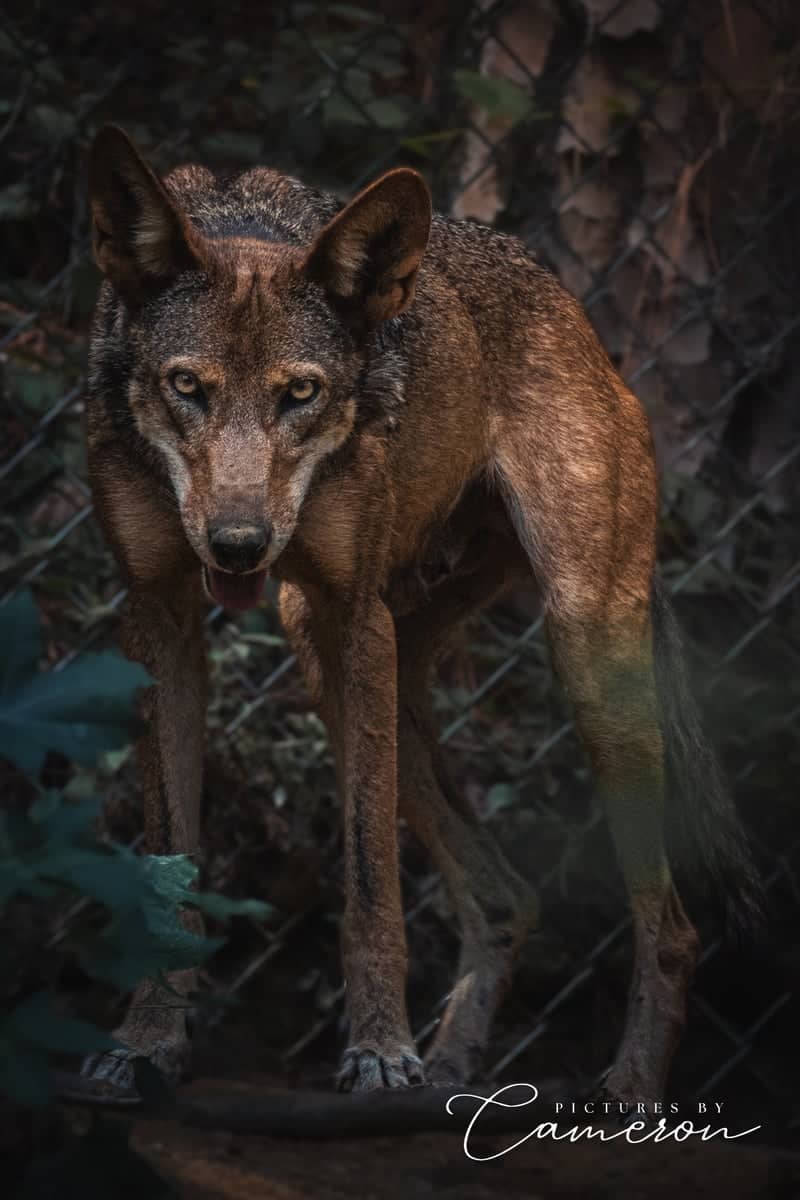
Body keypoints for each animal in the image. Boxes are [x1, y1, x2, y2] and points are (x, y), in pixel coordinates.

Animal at [82, 125, 761, 1098]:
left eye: (301, 392)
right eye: (186, 387)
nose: (240, 544)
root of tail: (578, 318)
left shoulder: (352, 613)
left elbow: (370, 884)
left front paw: (377, 1051)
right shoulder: (162, 619)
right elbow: (165, 865)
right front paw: (145, 1042)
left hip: (581, 651)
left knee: (670, 928)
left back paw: (626, 1091)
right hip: (343, 652)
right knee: (508, 897)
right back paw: (452, 1075)